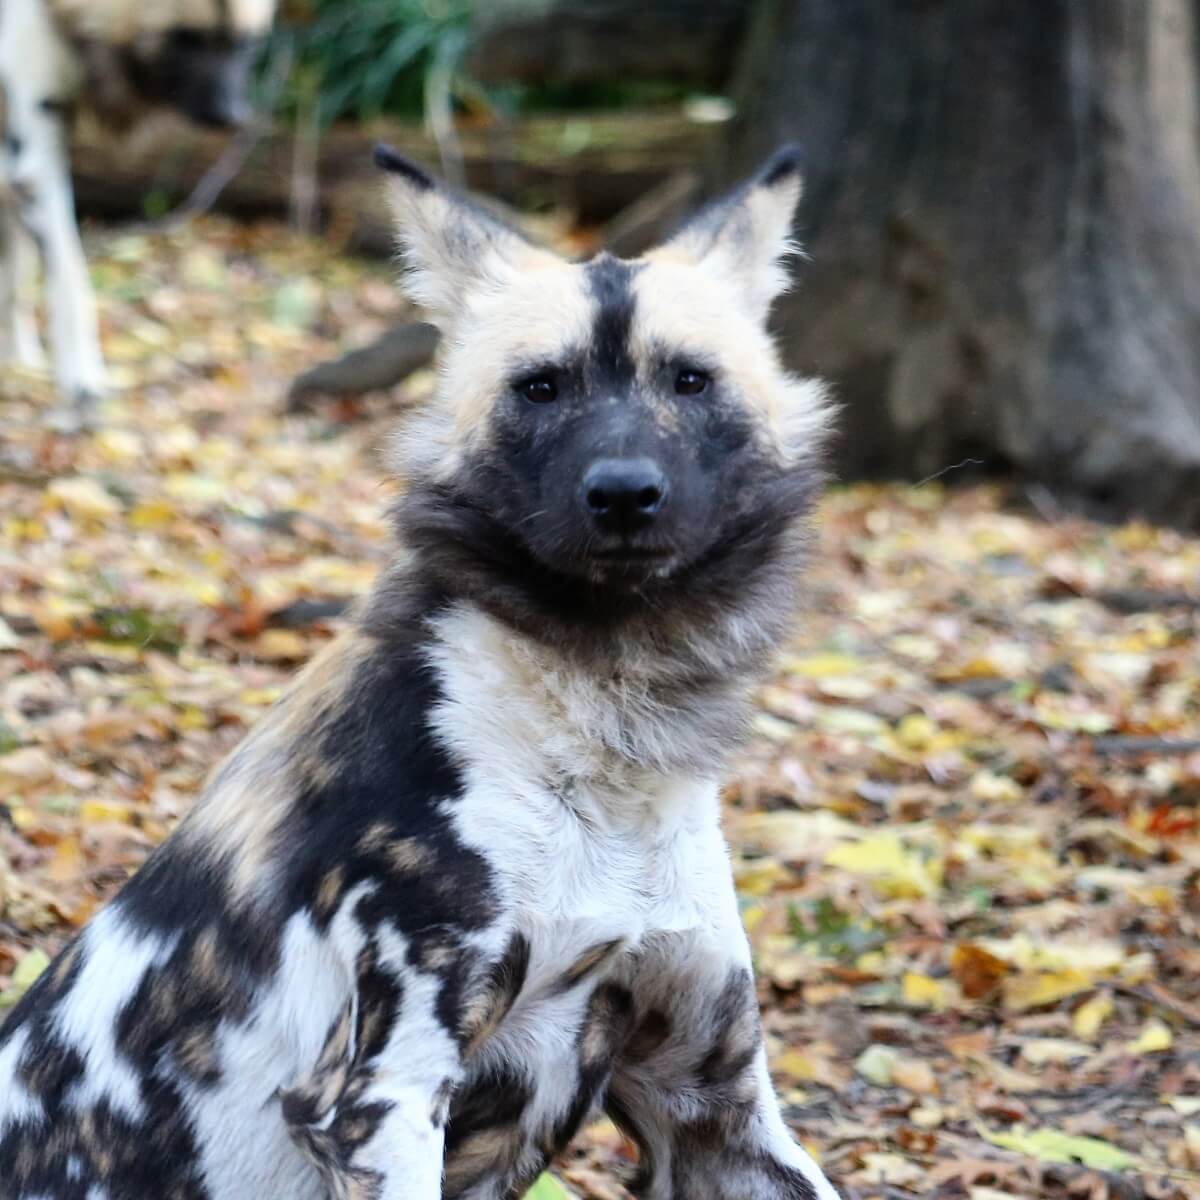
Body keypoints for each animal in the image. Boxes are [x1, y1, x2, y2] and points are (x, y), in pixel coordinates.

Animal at [0, 0, 273, 403]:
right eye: (185, 38)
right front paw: (83, 383)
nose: (230, 115)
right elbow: (70, 278)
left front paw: (20, 362)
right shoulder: (35, 160)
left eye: (244, 45)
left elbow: (16, 282)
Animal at [0, 142, 840, 1200]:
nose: (622, 493)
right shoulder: (375, 1099)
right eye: (540, 388)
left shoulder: (717, 1106)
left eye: (692, 381)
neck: (606, 715)